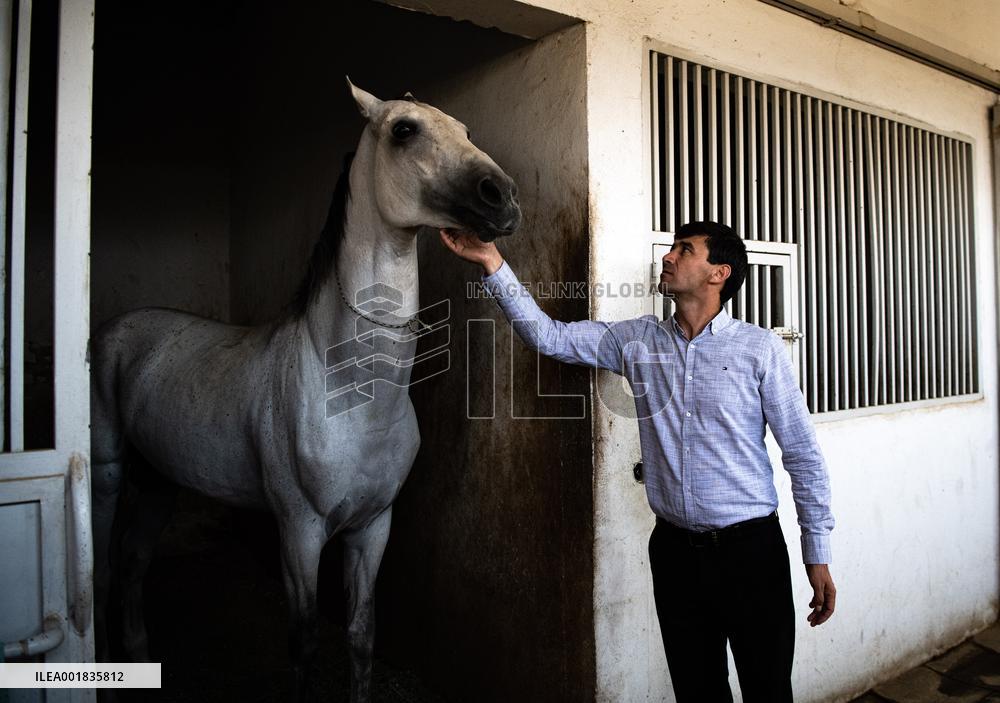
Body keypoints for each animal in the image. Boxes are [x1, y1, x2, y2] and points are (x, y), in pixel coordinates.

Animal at [89, 78, 521, 702]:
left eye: (465, 129)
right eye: (404, 130)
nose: (502, 197)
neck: (352, 393)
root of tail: (118, 328)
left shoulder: (372, 527)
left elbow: (362, 634)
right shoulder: (298, 531)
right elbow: (305, 642)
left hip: (157, 483)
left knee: (131, 565)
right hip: (108, 475)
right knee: (100, 569)